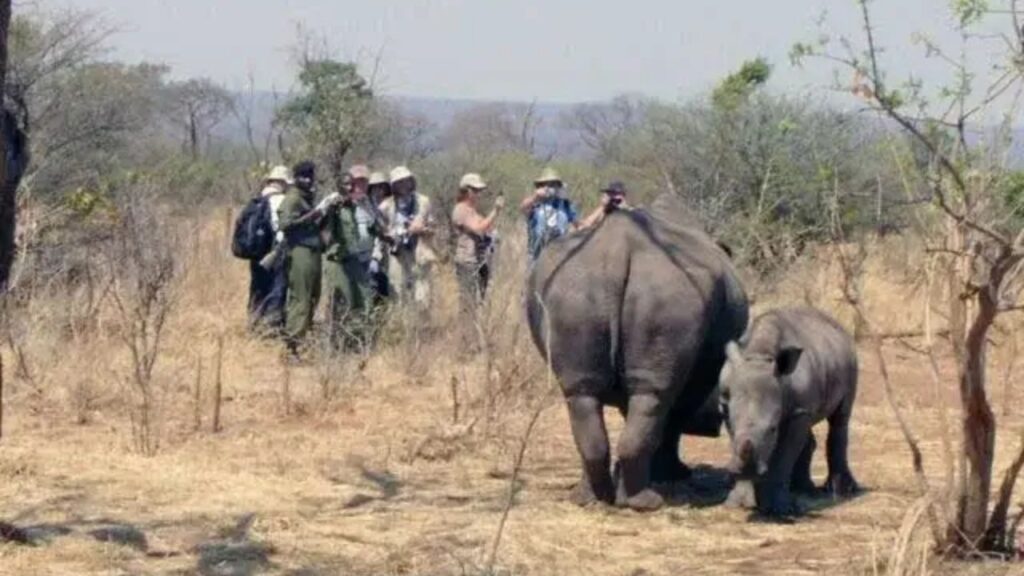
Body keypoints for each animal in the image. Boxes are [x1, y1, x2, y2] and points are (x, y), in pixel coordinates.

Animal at [526, 194, 749, 511]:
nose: (713, 424)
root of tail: (617, 248)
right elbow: (671, 422)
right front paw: (675, 474)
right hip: (668, 294)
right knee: (653, 397)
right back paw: (646, 501)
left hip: (573, 291)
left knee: (582, 394)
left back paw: (591, 498)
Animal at [719, 307, 860, 516]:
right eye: (733, 428)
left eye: (772, 430)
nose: (747, 471)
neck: (760, 355)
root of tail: (837, 327)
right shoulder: (726, 406)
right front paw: (740, 503)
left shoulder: (796, 412)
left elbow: (784, 457)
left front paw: (779, 509)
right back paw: (802, 489)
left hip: (851, 360)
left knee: (840, 418)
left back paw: (838, 491)